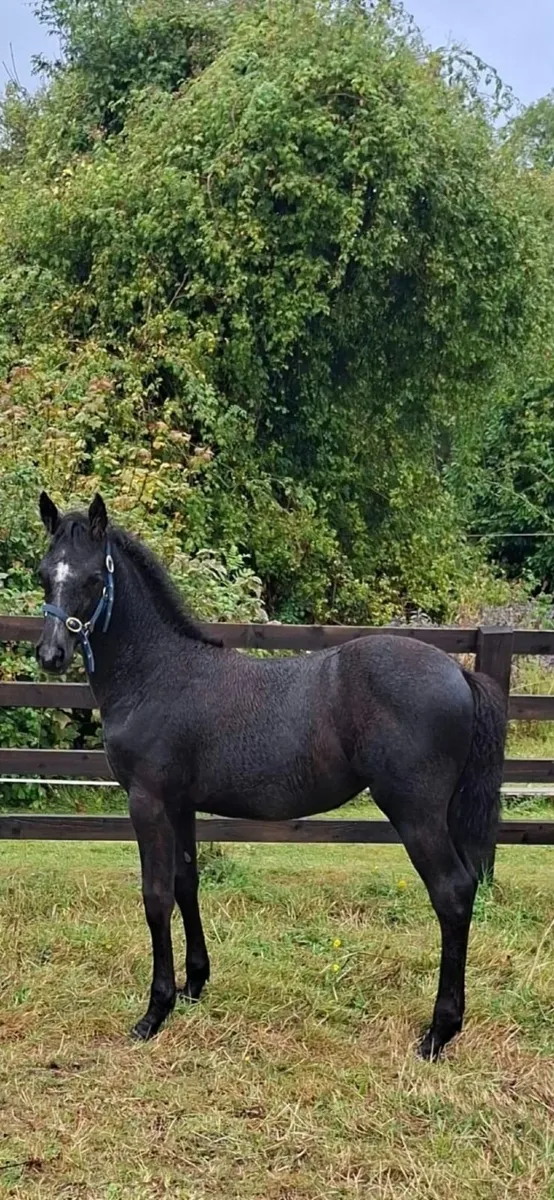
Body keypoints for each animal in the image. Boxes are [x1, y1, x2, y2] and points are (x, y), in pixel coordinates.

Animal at [36, 492, 506, 1059]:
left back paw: (439, 1032)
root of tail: (458, 670)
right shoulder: (180, 804)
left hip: (416, 814)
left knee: (452, 893)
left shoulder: (147, 801)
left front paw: (154, 1012)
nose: (51, 654)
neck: (157, 673)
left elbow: (155, 897)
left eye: (91, 579)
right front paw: (194, 984)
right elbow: (186, 882)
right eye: (44, 574)